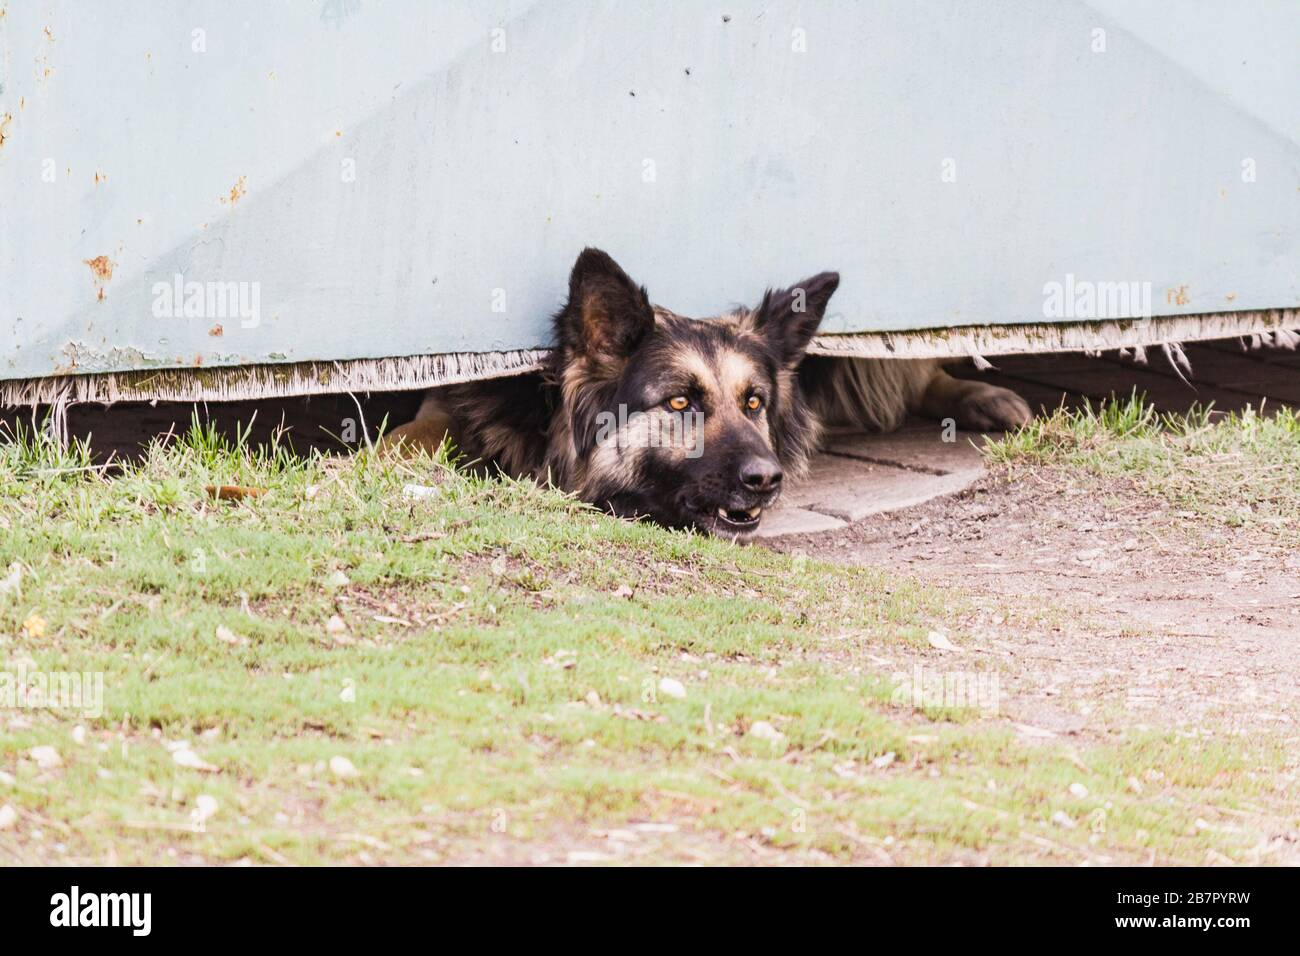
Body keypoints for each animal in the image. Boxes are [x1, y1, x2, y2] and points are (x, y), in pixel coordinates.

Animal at [379, 248, 1029, 538]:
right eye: (678, 403)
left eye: (754, 402)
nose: (768, 480)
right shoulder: (449, 402)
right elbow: (407, 436)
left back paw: (989, 399)